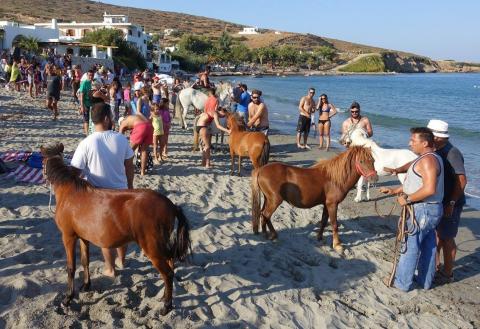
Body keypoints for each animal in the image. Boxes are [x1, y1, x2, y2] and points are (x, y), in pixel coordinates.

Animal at [41, 142, 191, 314]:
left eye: (41, 162)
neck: (70, 192)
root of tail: (171, 205)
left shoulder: (68, 237)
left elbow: (71, 267)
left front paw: (68, 298)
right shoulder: (84, 237)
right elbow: (85, 261)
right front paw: (86, 285)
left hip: (153, 248)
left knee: (167, 273)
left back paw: (166, 306)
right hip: (161, 246)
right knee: (171, 265)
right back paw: (165, 298)